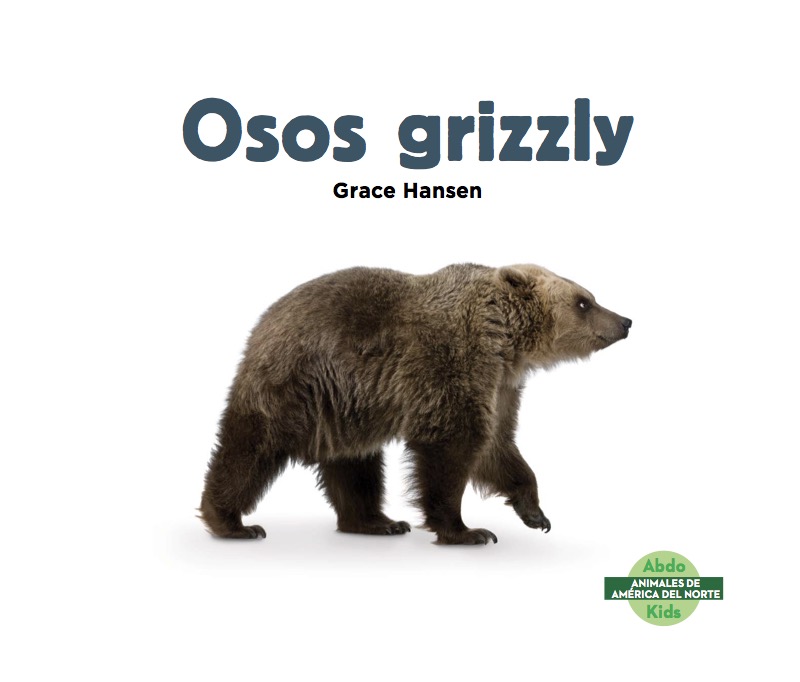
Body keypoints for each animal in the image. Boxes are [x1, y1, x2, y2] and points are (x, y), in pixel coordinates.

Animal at [199, 263, 631, 545]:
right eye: (583, 302)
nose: (625, 320)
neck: (503, 341)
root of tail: (262, 322)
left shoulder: (501, 387)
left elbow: (498, 445)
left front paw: (535, 513)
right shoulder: (451, 365)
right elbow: (451, 446)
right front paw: (467, 530)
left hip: (347, 404)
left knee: (355, 465)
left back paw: (377, 521)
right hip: (296, 383)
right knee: (251, 448)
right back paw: (232, 522)